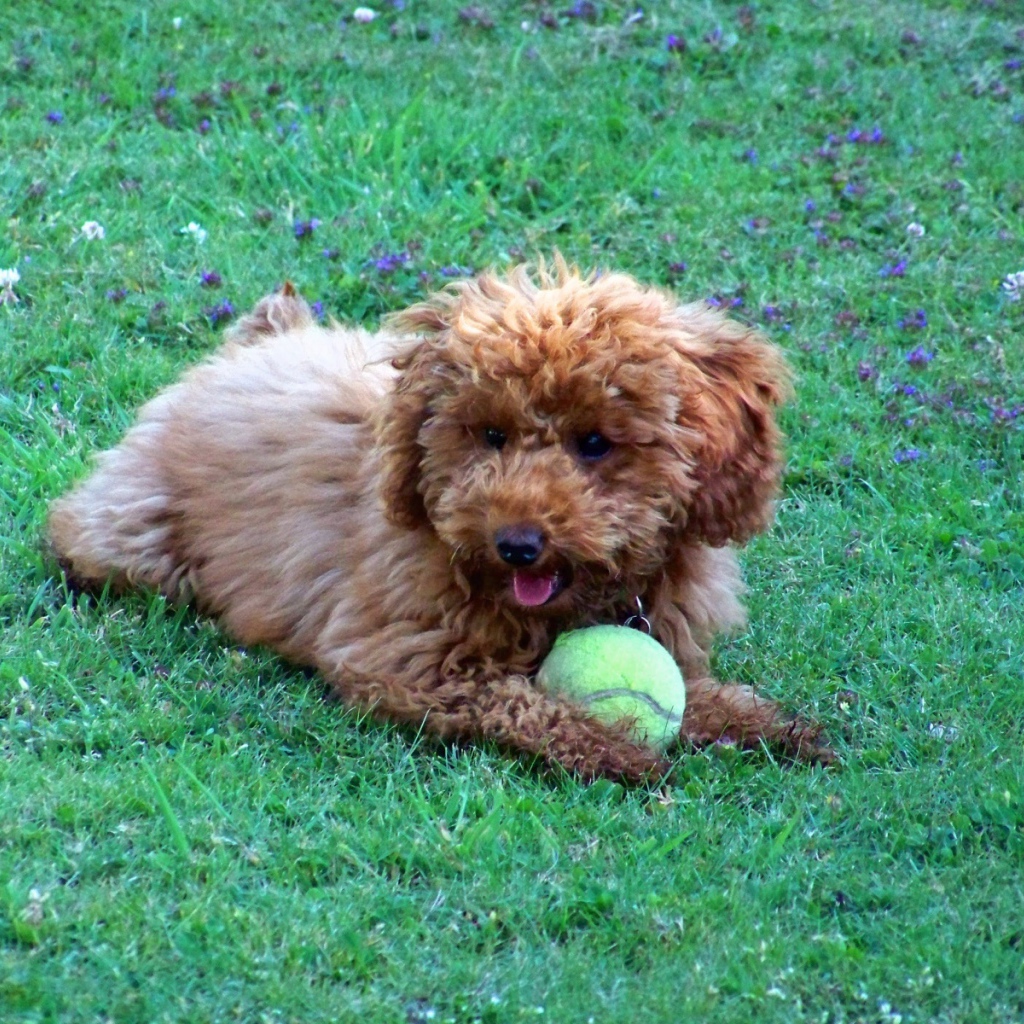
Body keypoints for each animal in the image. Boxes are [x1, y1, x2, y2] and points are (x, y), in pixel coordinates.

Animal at [48, 259, 831, 783]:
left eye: (596, 443)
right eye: (490, 434)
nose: (517, 544)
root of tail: (254, 343)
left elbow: (696, 692)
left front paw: (767, 724)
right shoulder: (401, 659)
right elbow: (515, 700)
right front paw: (614, 746)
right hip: (136, 535)